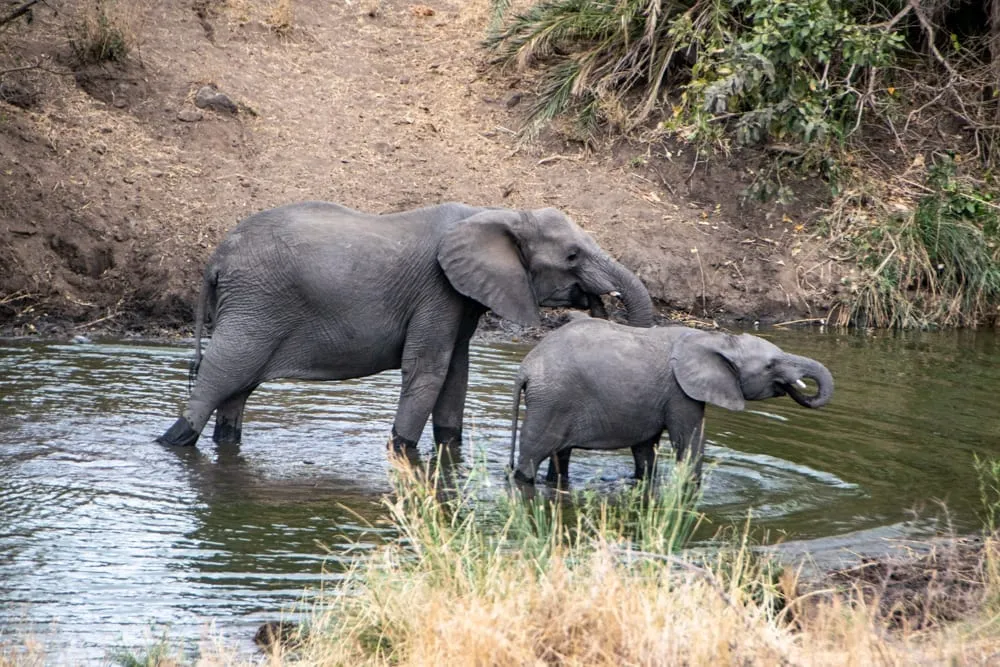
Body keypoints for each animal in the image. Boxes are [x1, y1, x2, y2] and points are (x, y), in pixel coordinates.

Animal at [156, 202, 656, 454]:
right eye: (572, 255)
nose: (599, 305)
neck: (500, 212)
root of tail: (215, 260)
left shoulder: (460, 298)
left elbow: (456, 375)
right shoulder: (437, 289)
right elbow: (429, 370)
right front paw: (401, 451)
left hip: (253, 307)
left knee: (237, 387)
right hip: (256, 306)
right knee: (222, 373)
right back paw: (173, 441)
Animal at [508, 316, 836, 488]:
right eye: (770, 366)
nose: (796, 385)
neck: (716, 339)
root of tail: (525, 368)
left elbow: (645, 450)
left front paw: (644, 483)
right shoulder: (681, 392)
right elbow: (688, 442)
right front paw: (690, 489)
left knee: (560, 455)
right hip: (551, 400)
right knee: (533, 454)